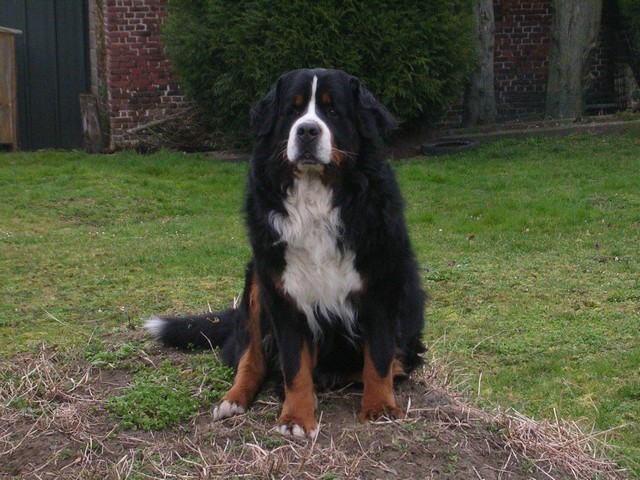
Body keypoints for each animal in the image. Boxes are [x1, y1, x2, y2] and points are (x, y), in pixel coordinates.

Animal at [145, 68, 426, 439]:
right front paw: (295, 417)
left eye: (332, 111)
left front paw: (379, 408)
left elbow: (377, 357)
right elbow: (294, 363)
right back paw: (234, 399)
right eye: (292, 111)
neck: (315, 196)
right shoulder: (282, 291)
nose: (307, 130)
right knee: (251, 357)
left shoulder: (382, 283)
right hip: (256, 281)